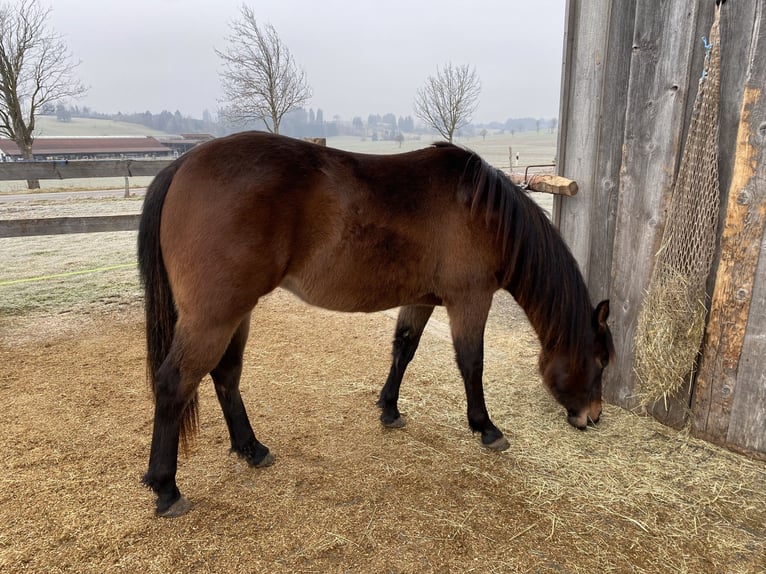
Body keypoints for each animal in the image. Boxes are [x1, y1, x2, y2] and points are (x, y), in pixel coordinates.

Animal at [140, 130, 616, 516]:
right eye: (600, 362)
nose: (593, 417)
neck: (484, 211)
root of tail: (183, 164)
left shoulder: (421, 301)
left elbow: (404, 349)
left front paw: (389, 409)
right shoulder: (470, 300)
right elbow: (472, 364)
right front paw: (485, 427)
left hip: (236, 312)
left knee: (225, 374)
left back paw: (251, 449)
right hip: (214, 316)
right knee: (173, 383)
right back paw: (167, 489)